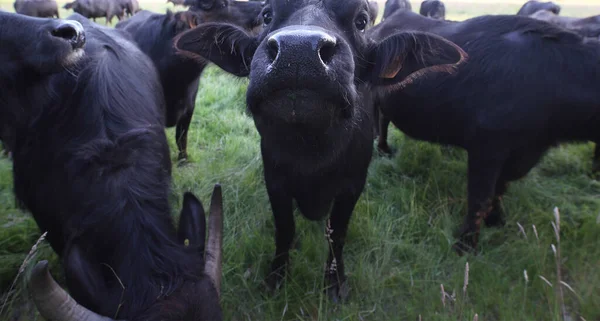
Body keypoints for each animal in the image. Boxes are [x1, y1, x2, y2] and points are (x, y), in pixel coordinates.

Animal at [173, 0, 464, 300]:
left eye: (361, 21)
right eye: (267, 15)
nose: (298, 52)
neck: (312, 152)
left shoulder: (352, 186)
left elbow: (337, 233)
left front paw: (335, 282)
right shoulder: (275, 181)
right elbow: (285, 228)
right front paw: (277, 276)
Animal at [370, 10, 600, 254]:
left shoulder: (523, 152)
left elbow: (501, 187)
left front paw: (496, 218)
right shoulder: (486, 149)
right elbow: (481, 197)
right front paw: (466, 243)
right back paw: (383, 149)